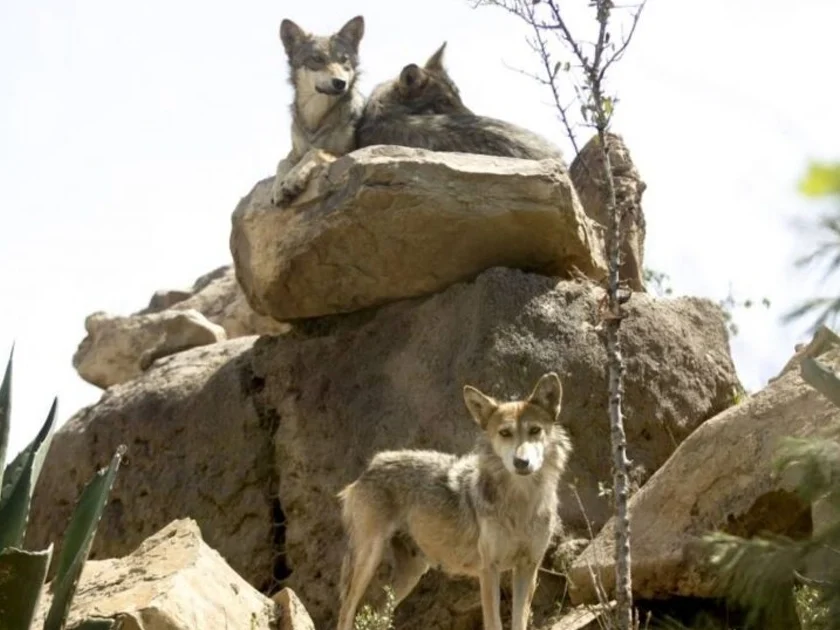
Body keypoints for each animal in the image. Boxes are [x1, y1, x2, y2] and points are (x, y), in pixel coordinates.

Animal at [270, 15, 365, 207]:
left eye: (344, 60)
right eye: (317, 59)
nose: (340, 83)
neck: (316, 116)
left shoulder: (349, 151)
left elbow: (315, 151)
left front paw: (293, 179)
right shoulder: (294, 152)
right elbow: (282, 161)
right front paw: (277, 188)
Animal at [336, 372, 572, 630]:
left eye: (535, 430)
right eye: (505, 433)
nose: (521, 462)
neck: (521, 503)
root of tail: (372, 464)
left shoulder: (528, 567)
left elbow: (519, 622)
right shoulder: (489, 569)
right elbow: (494, 623)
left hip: (411, 573)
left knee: (378, 612)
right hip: (368, 559)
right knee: (346, 612)